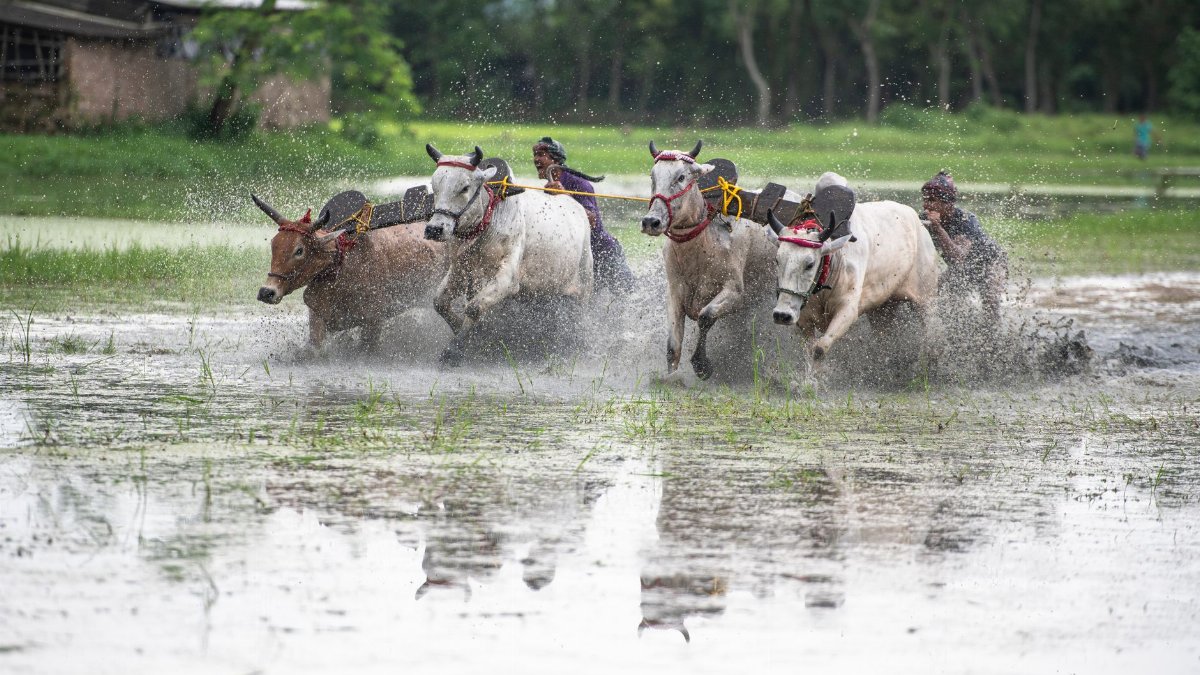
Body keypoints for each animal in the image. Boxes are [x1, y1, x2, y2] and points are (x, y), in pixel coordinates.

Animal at [252, 195, 447, 350]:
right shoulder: (317, 315)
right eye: (273, 244)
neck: (342, 265)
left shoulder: (373, 321)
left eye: (299, 250)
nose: (267, 292)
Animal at [422, 144, 594, 366]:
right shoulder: (459, 270)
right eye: (434, 186)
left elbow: (473, 307)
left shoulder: (508, 278)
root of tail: (572, 202)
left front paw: (455, 350)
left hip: (584, 285)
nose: (434, 229)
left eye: (464, 187)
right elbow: (440, 302)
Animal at [639, 140, 795, 380]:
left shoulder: (735, 293)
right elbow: (673, 344)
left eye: (681, 177)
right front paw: (671, 377)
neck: (700, 247)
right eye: (652, 176)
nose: (651, 222)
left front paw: (701, 364)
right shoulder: (674, 291)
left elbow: (705, 316)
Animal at [766, 180, 939, 363]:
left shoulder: (848, 310)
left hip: (927, 299)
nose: (782, 315)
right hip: (882, 311)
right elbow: (811, 354)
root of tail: (919, 222)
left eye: (810, 264)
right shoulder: (804, 320)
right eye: (777, 260)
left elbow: (819, 350)